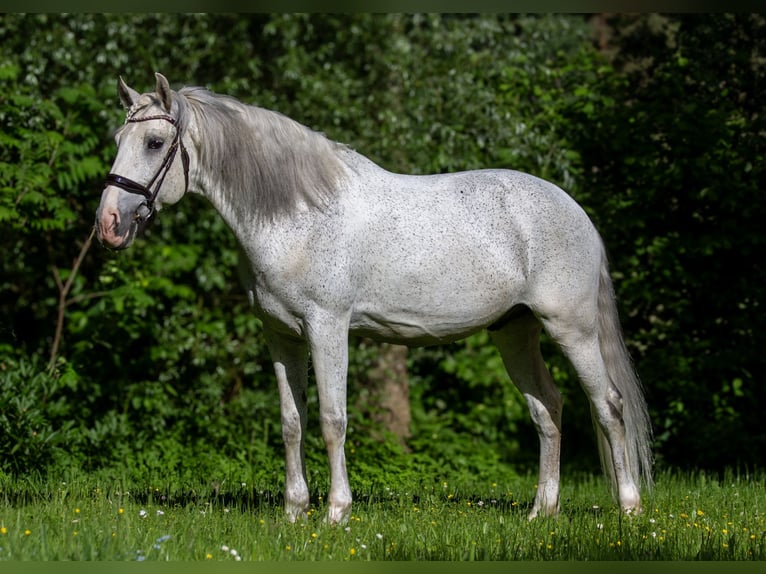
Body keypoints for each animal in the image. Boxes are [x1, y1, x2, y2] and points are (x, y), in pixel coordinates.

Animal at [97, 74, 656, 524]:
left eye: (154, 142)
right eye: (119, 139)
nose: (108, 224)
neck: (298, 212)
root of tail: (575, 210)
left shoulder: (327, 328)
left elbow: (332, 421)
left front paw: (336, 512)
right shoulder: (281, 336)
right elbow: (292, 423)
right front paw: (294, 513)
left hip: (572, 328)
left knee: (608, 406)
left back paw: (628, 509)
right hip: (515, 332)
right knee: (548, 411)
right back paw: (542, 511)